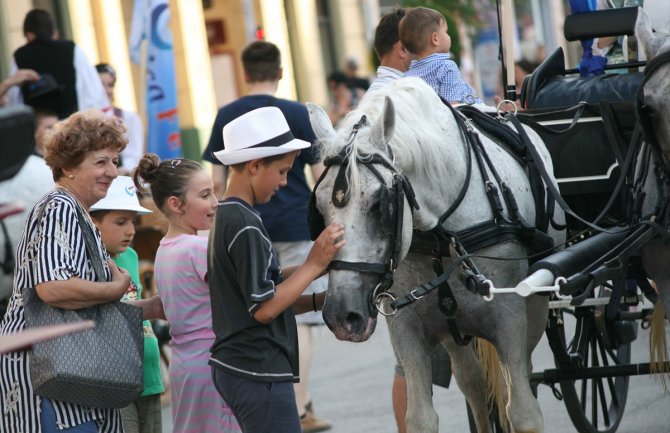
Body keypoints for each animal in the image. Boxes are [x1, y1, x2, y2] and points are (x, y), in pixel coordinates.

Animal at [310, 77, 568, 432]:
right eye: (319, 207)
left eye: (379, 205)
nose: (341, 316)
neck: (442, 232)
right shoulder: (407, 326)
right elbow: (420, 417)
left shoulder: (511, 316)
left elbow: (523, 411)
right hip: (452, 327)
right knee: (473, 383)